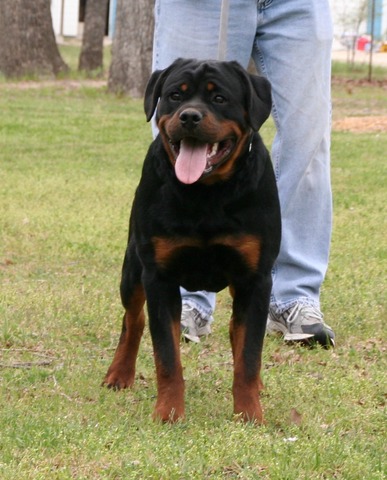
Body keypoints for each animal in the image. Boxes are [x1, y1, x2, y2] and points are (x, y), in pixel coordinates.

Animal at [102, 58, 282, 422]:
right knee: (133, 319)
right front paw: (169, 412)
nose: (189, 116)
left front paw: (249, 413)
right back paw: (120, 373)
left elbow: (249, 354)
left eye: (219, 98)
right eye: (175, 95)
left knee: (239, 331)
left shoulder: (256, 279)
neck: (206, 194)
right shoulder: (159, 277)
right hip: (132, 270)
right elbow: (167, 356)